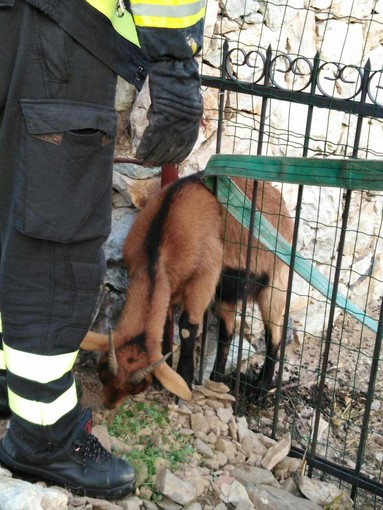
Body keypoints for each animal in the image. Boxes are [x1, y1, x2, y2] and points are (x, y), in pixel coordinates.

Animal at [81, 173, 294, 408]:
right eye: (102, 372)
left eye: (138, 387)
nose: (109, 405)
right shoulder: (171, 286)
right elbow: (166, 323)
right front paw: (162, 380)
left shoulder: (205, 277)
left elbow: (186, 327)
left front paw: (184, 382)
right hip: (227, 292)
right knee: (228, 330)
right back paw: (216, 378)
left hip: (275, 282)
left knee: (275, 333)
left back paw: (261, 388)